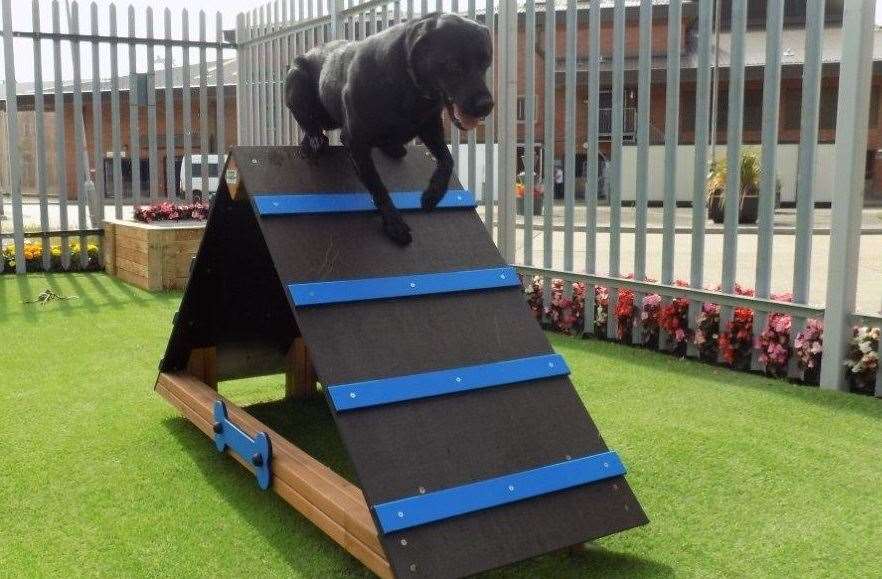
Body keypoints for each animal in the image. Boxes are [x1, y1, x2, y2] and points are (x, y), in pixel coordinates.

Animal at [286, 13, 492, 245]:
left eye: (485, 63)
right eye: (453, 64)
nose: (487, 105)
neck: (409, 84)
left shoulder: (430, 126)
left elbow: (448, 159)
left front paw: (433, 195)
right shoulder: (356, 141)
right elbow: (378, 185)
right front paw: (394, 223)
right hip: (297, 79)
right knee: (309, 123)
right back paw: (313, 140)